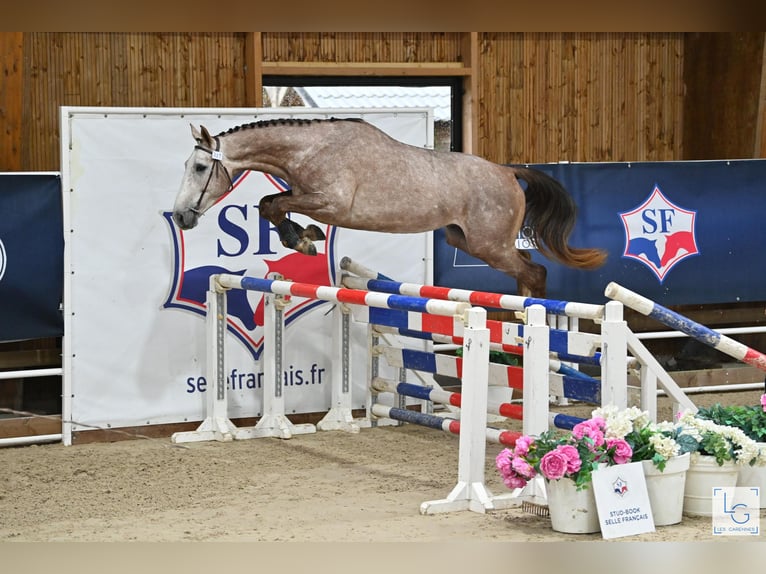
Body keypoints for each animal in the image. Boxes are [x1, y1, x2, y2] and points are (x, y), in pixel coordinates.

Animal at [172, 117, 608, 296]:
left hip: (491, 245)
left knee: (535, 271)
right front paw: (304, 238)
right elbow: (270, 204)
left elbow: (272, 205)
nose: (179, 216)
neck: (311, 148)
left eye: (199, 167)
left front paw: (305, 239)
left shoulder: (329, 203)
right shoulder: (309, 198)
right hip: (468, 241)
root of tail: (506, 172)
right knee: (528, 269)